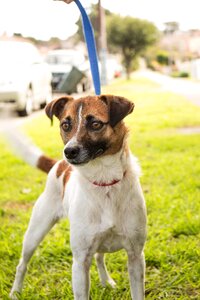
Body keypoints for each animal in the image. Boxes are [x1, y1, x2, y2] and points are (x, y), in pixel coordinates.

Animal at [9, 95, 147, 298]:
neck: (104, 181)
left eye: (96, 124)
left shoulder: (136, 255)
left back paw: (106, 281)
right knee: (22, 264)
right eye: (66, 125)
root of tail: (58, 165)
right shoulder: (80, 262)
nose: (69, 151)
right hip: (35, 233)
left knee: (99, 257)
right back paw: (15, 292)